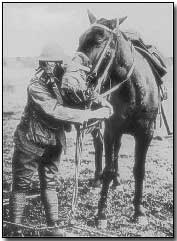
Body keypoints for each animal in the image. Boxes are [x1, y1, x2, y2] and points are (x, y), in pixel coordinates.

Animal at [75, 11, 158, 226]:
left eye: (98, 41)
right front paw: (101, 213)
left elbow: (139, 170)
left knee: (115, 152)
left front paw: (138, 211)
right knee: (99, 147)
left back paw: (117, 181)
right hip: (98, 125)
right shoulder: (111, 130)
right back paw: (98, 179)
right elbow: (108, 168)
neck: (134, 90)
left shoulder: (146, 133)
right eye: (80, 39)